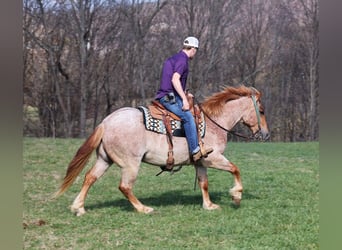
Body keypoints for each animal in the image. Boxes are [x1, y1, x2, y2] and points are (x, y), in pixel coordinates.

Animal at [54, 85, 270, 215]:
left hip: (104, 159)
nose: (266, 135)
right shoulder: (213, 158)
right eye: (261, 111)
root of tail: (106, 122)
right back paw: (143, 208)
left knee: (90, 177)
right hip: (130, 164)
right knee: (125, 186)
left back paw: (78, 207)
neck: (214, 122)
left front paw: (208, 205)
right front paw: (236, 196)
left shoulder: (200, 162)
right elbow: (235, 169)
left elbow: (204, 183)